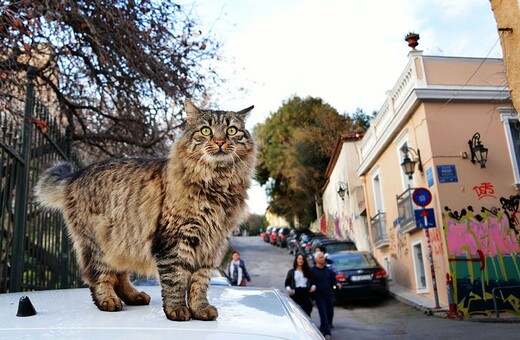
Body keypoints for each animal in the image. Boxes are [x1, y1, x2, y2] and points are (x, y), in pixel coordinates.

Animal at [32, 99, 256, 322]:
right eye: (206, 130)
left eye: (232, 130)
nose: (219, 142)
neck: (216, 183)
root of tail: (77, 175)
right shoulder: (175, 240)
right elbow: (175, 280)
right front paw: (177, 309)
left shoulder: (210, 244)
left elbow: (199, 283)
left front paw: (200, 309)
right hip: (99, 242)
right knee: (99, 276)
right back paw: (109, 301)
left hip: (121, 240)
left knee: (120, 275)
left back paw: (134, 296)